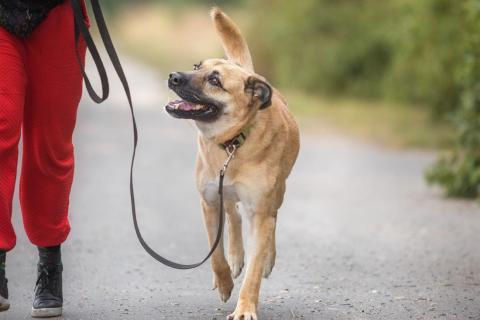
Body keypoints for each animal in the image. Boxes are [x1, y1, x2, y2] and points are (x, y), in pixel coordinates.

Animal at [165, 7, 300, 320]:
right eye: (196, 66)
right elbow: (215, 254)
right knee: (233, 216)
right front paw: (225, 281)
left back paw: (266, 257)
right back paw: (236, 257)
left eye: (215, 81)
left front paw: (245, 307)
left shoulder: (260, 211)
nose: (173, 76)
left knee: (272, 221)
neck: (233, 142)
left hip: (277, 193)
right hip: (223, 192)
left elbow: (254, 271)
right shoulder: (209, 201)